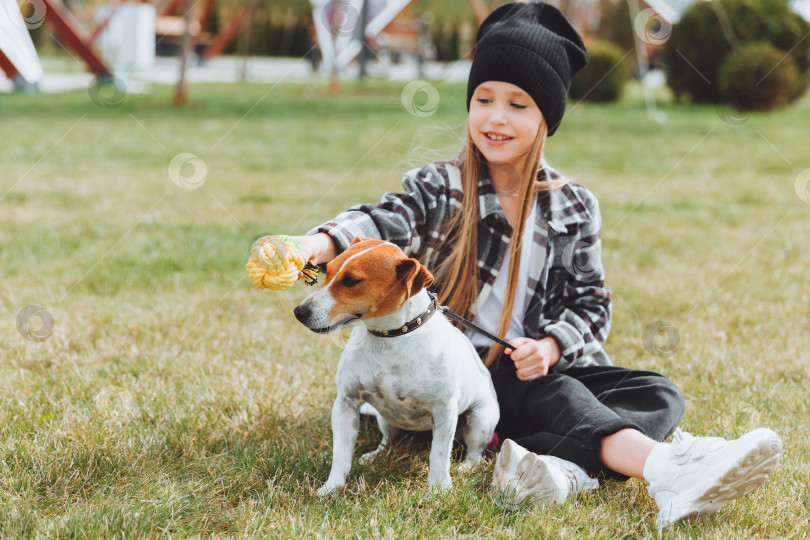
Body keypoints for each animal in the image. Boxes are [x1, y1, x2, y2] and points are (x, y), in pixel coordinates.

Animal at [296, 238, 498, 496]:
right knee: (389, 442)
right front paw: (332, 487)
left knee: (475, 453)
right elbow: (340, 453)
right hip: (386, 419)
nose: (299, 312)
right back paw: (375, 455)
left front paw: (439, 488)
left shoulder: (444, 410)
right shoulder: (346, 403)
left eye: (351, 280)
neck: (389, 336)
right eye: (328, 270)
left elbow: (439, 454)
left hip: (480, 421)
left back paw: (466, 467)